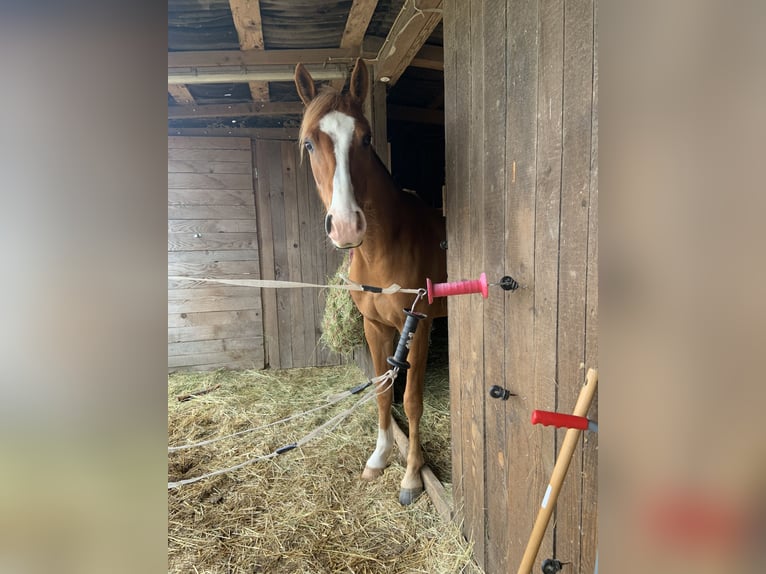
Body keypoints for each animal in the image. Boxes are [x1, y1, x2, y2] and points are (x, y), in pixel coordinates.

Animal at [294, 59, 450, 508]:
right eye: (309, 144)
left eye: (364, 139)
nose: (347, 226)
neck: (385, 248)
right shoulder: (375, 327)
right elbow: (382, 391)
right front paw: (379, 458)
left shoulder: (419, 329)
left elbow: (411, 400)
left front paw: (412, 476)